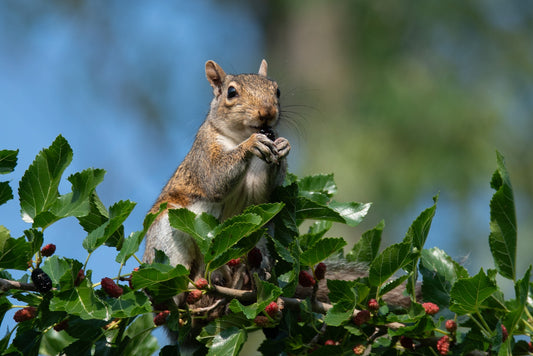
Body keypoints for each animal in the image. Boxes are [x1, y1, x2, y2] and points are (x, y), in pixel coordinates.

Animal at [141, 58, 288, 280]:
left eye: (277, 90)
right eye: (231, 92)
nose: (267, 112)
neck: (238, 137)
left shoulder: (258, 184)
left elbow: (262, 192)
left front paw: (283, 146)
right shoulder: (205, 150)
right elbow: (215, 180)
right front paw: (251, 144)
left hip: (261, 231)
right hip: (165, 234)